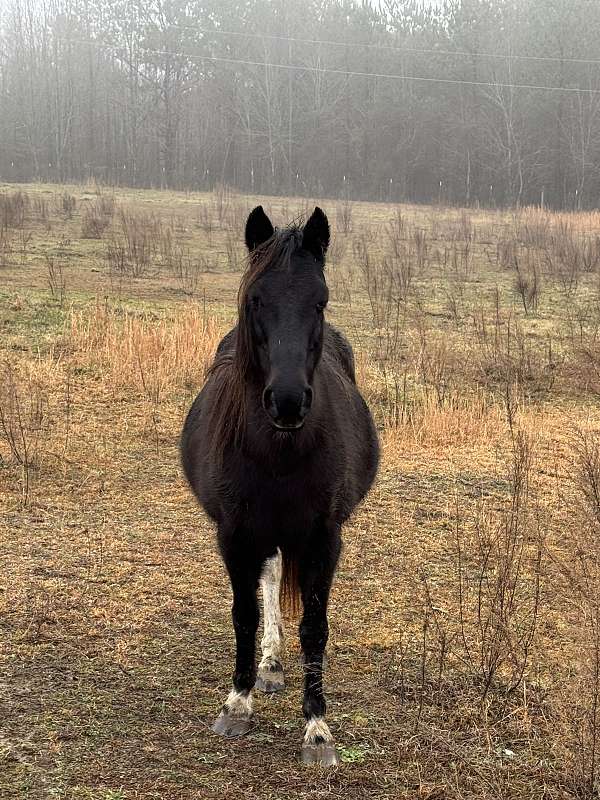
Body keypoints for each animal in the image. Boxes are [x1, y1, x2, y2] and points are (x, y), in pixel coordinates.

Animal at [179, 203, 380, 764]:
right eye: (255, 299)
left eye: (320, 300)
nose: (287, 401)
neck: (280, 449)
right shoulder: (234, 534)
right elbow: (245, 613)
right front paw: (237, 703)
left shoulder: (324, 538)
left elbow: (315, 626)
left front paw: (317, 727)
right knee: (269, 580)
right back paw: (268, 665)